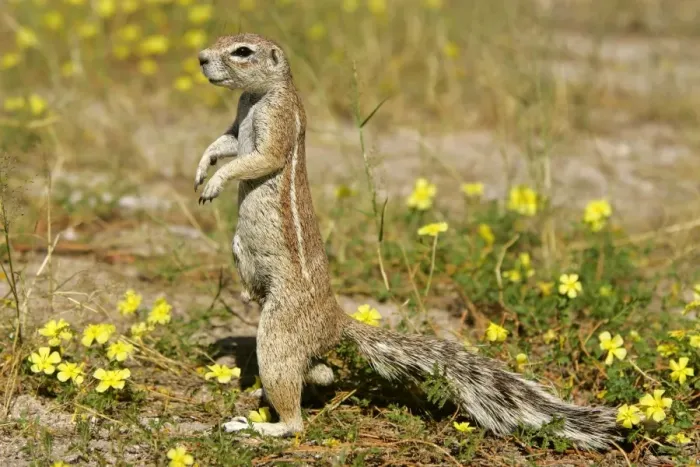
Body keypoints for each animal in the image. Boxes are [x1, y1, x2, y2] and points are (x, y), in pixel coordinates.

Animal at [194, 33, 618, 449]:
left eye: (242, 51)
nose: (200, 58)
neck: (257, 96)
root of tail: (335, 319)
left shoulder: (277, 121)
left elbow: (258, 158)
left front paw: (215, 182)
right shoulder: (238, 122)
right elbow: (225, 142)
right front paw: (202, 167)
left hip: (278, 333)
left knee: (296, 418)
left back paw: (256, 427)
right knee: (321, 373)